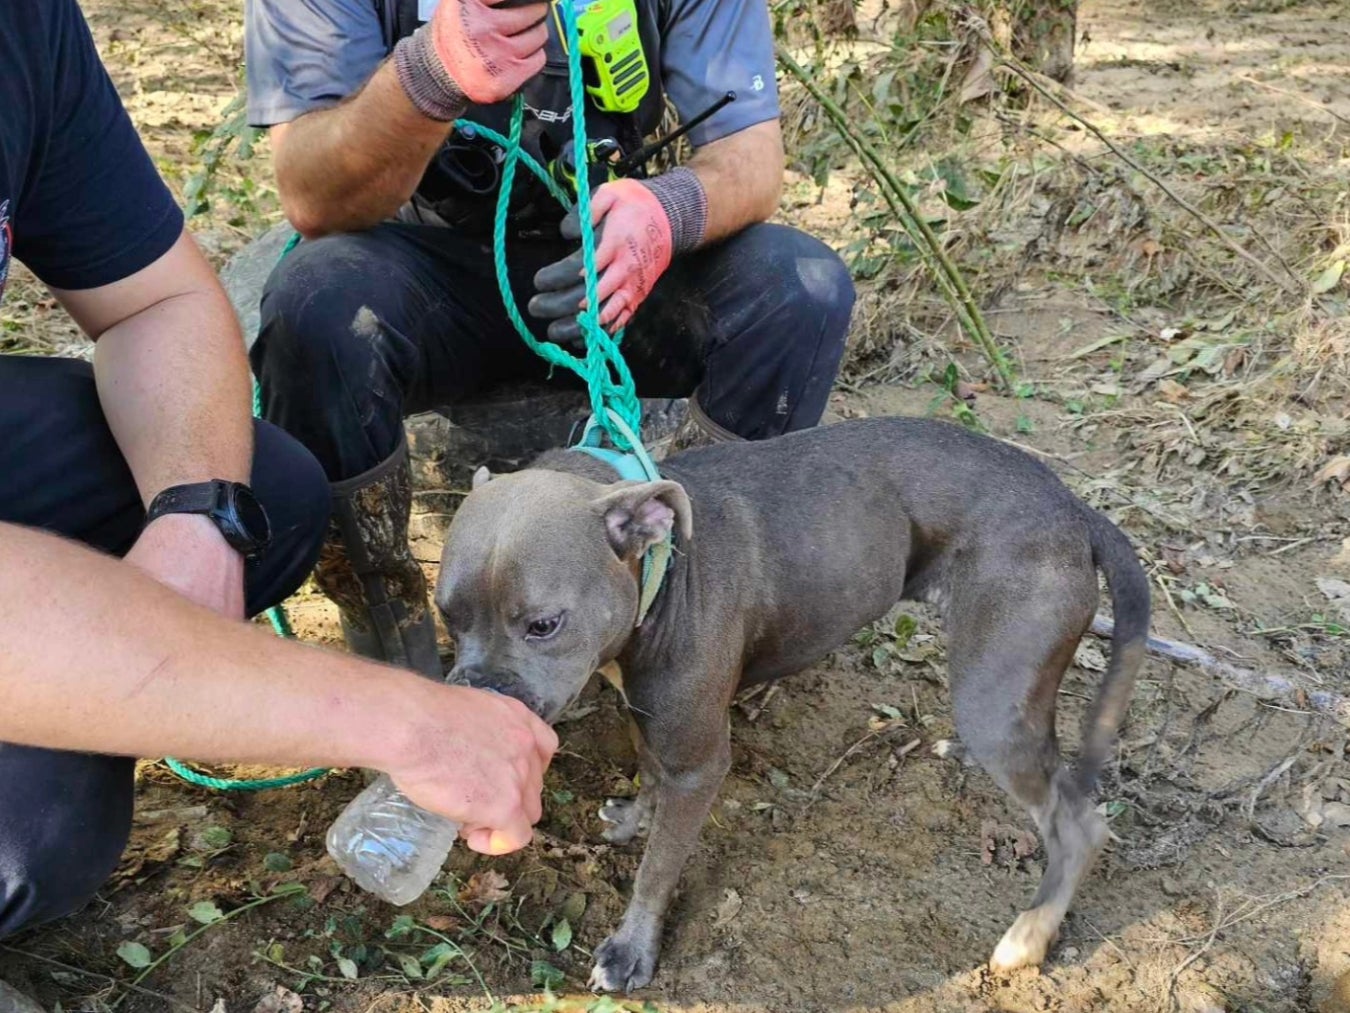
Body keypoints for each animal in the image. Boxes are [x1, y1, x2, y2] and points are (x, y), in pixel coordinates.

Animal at [434, 416, 1150, 994]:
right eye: (446, 615)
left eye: (543, 625)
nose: (478, 696)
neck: (660, 570)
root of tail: (1072, 507)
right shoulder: (654, 721)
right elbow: (650, 773)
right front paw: (636, 816)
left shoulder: (701, 763)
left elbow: (658, 869)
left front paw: (632, 949)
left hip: (992, 694)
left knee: (1079, 824)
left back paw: (1030, 934)